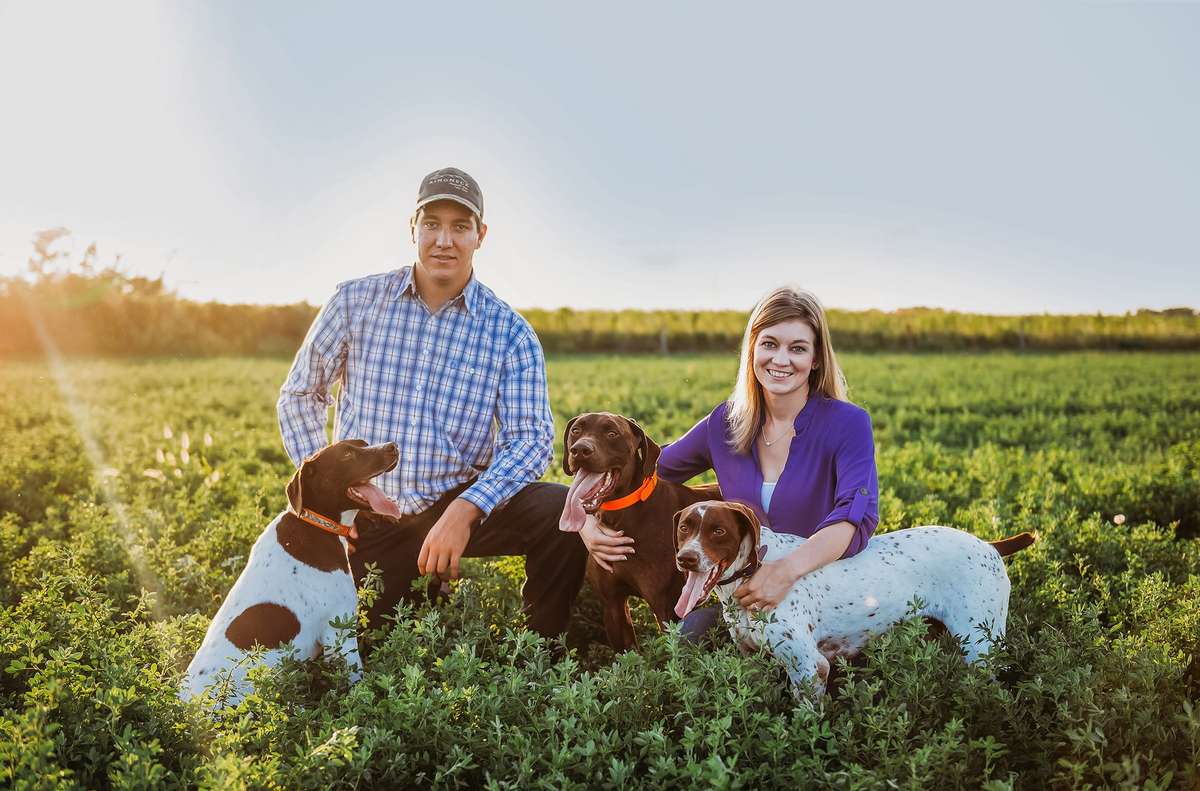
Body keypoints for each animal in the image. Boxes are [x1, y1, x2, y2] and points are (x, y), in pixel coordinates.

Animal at [177, 439, 400, 705]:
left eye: (364, 444)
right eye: (347, 454)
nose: (393, 446)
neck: (315, 525)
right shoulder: (339, 632)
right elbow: (359, 684)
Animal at [556, 415, 715, 648]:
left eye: (612, 433)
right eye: (576, 430)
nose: (580, 450)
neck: (621, 517)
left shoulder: (668, 610)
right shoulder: (613, 606)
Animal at [672, 501, 1036, 700]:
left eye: (718, 531)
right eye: (684, 528)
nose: (686, 559)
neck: (754, 570)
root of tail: (989, 544)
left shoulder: (809, 667)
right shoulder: (752, 659)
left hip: (981, 647)